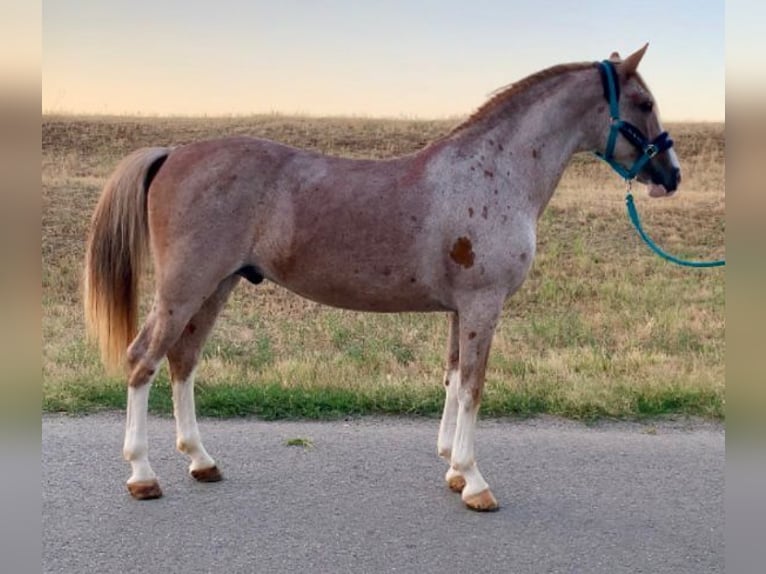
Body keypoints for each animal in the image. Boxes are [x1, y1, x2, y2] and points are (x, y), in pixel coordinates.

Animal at [85, 45, 684, 512]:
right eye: (645, 103)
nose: (671, 176)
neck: (493, 171)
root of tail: (173, 153)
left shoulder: (461, 310)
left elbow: (452, 379)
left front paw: (453, 470)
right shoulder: (483, 305)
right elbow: (474, 386)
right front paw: (476, 483)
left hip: (217, 286)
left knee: (183, 361)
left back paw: (201, 461)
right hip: (184, 289)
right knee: (143, 359)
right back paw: (142, 475)